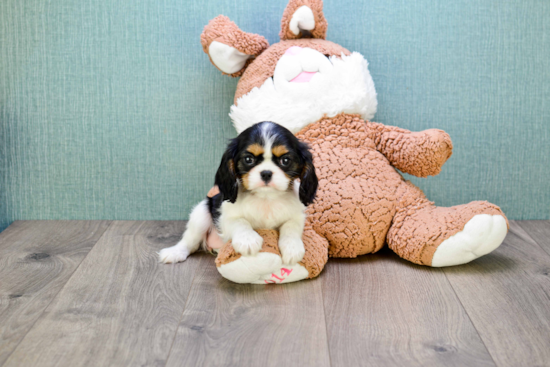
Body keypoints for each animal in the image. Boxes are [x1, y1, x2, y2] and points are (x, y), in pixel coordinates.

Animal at [157, 122, 316, 266]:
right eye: (248, 159)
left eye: (285, 160)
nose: (266, 173)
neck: (266, 198)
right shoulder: (225, 215)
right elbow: (239, 221)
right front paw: (248, 240)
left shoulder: (297, 216)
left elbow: (291, 227)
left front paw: (292, 248)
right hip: (201, 213)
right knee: (190, 241)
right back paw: (175, 252)